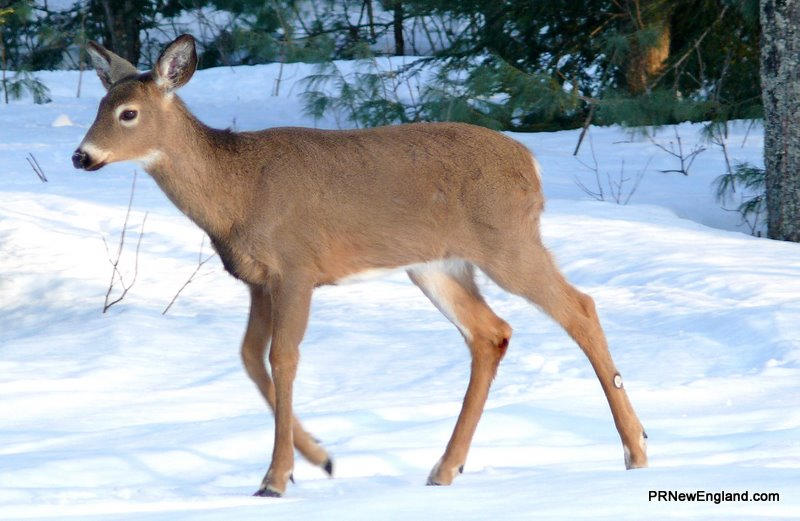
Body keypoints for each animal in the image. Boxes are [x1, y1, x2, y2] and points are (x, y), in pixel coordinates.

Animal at [73, 34, 648, 497]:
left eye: (128, 114)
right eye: (100, 104)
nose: (81, 156)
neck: (234, 193)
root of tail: (532, 164)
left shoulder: (297, 266)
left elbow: (283, 358)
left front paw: (275, 478)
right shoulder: (258, 280)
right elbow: (250, 358)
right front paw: (319, 458)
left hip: (507, 241)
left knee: (579, 307)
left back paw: (636, 449)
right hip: (436, 265)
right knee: (491, 332)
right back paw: (445, 468)